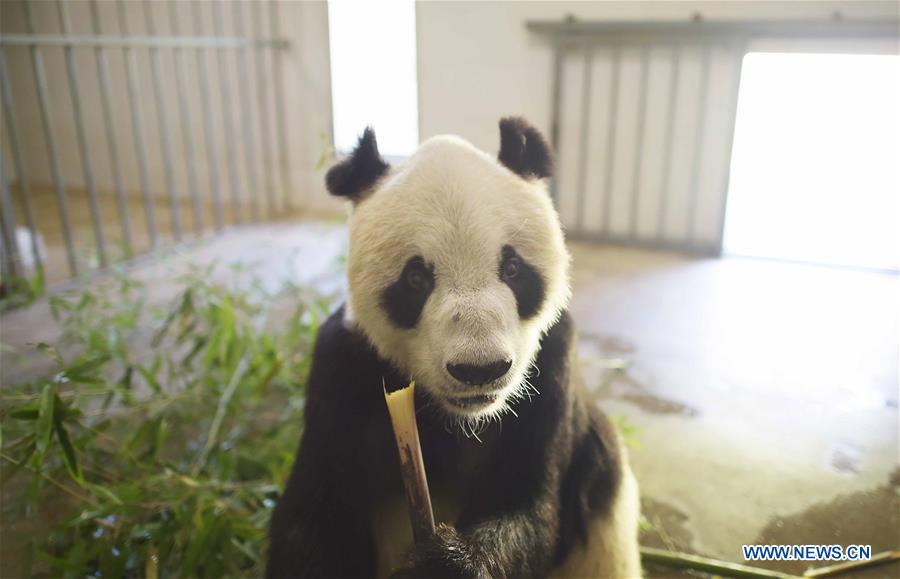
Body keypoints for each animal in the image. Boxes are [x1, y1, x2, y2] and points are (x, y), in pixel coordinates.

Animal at [267, 117, 642, 578]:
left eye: (512, 268)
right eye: (416, 278)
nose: (480, 369)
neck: (457, 419)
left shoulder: (553, 366)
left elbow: (532, 511)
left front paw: (444, 561)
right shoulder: (342, 373)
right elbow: (314, 522)